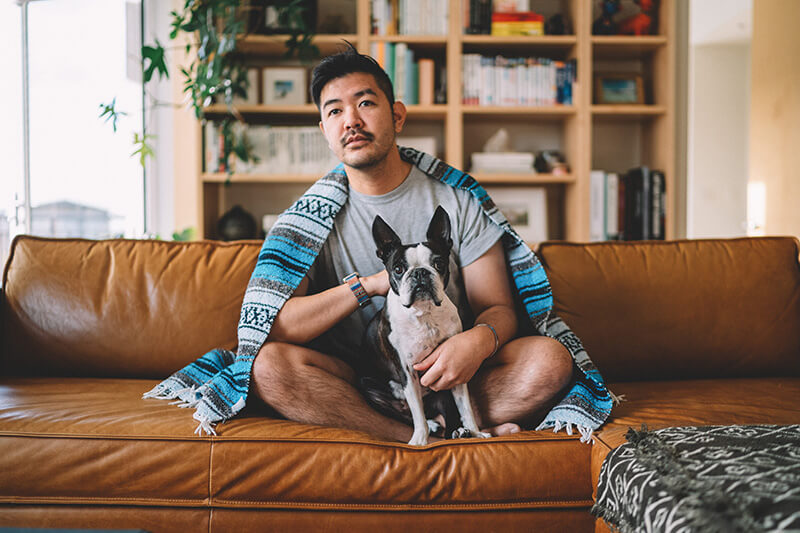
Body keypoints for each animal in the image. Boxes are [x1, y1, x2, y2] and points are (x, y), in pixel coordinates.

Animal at [362, 206, 488, 446]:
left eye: (439, 264)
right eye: (398, 269)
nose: (420, 272)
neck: (424, 313)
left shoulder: (455, 368)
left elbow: (465, 407)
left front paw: (476, 432)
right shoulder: (407, 371)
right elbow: (417, 414)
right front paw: (419, 440)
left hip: (442, 388)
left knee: (447, 414)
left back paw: (460, 432)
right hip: (370, 389)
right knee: (407, 413)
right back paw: (433, 426)